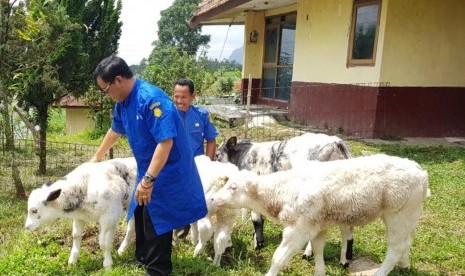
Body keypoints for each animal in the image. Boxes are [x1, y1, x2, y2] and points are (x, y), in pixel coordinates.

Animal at [210, 154, 428, 274]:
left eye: (233, 187)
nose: (212, 199)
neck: (283, 191)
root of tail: (420, 171)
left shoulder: (298, 229)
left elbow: (278, 259)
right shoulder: (317, 226)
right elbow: (318, 251)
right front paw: (319, 271)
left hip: (398, 215)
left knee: (395, 248)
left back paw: (382, 272)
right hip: (410, 215)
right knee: (406, 243)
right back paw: (405, 265)